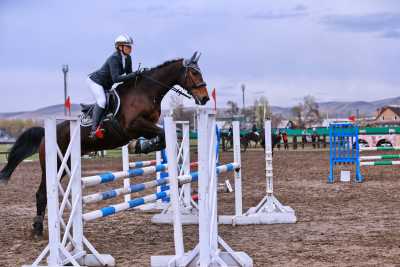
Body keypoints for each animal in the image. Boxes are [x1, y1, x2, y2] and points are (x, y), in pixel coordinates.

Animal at [0, 51, 211, 237]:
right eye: (194, 73)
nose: (205, 98)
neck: (146, 91)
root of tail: (46, 134)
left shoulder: (146, 126)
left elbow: (165, 136)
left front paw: (144, 146)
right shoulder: (133, 126)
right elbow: (162, 134)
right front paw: (142, 146)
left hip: (68, 164)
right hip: (55, 164)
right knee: (41, 193)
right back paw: (37, 229)